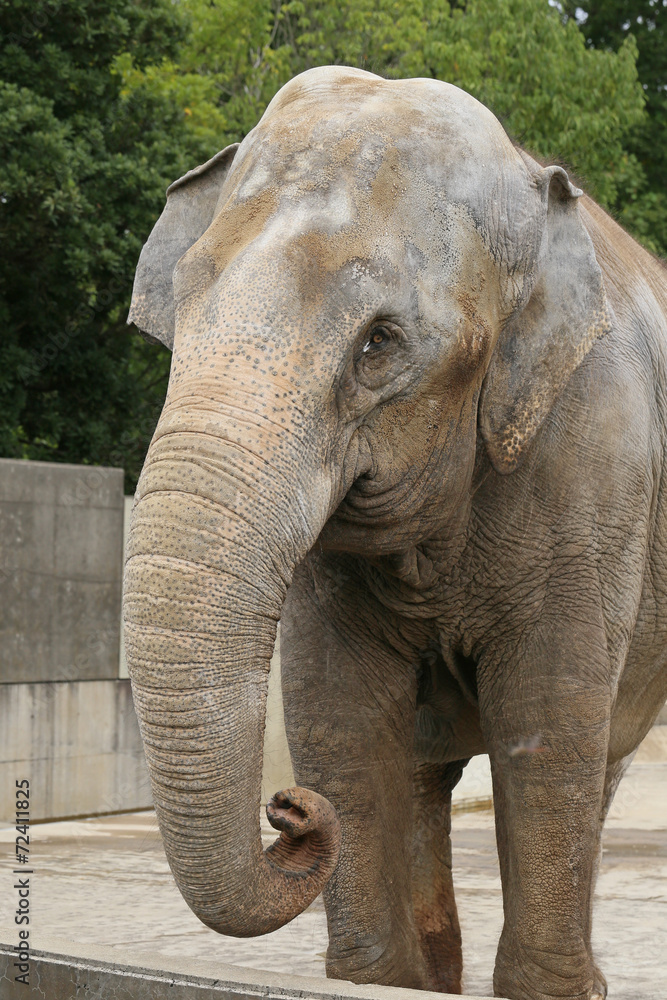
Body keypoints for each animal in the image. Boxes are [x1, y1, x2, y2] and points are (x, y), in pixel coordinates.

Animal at [124, 65, 667, 1000]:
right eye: (179, 312)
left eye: (379, 342)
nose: (288, 809)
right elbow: (335, 712)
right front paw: (372, 979)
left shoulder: (596, 462)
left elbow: (547, 716)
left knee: (592, 759)